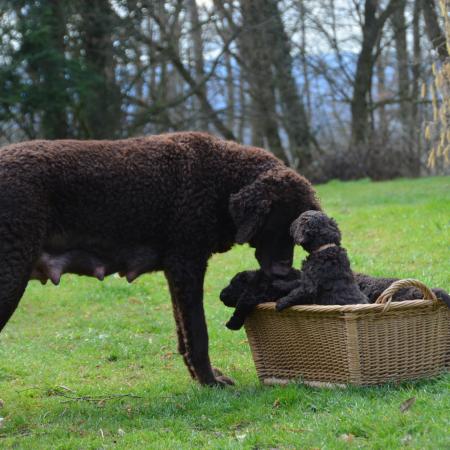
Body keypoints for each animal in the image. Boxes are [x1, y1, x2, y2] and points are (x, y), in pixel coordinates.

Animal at [0, 131, 320, 386]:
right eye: (276, 223)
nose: (283, 272)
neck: (222, 180)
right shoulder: (187, 263)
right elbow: (198, 333)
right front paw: (211, 382)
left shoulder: (175, 271)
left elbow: (184, 334)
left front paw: (201, 379)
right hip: (11, 273)